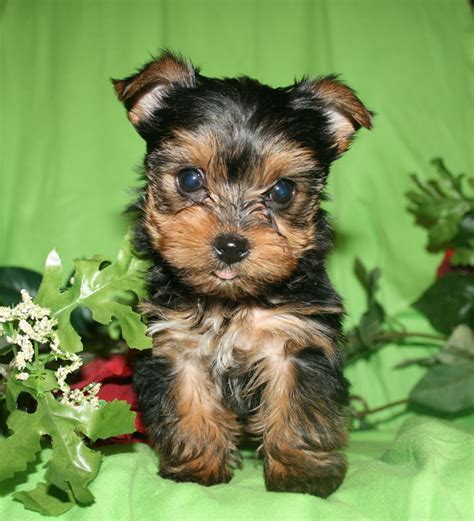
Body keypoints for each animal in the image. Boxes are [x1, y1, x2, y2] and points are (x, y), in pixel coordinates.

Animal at [113, 51, 372, 496]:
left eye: (283, 191)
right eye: (190, 179)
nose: (231, 245)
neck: (231, 304)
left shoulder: (297, 339)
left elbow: (298, 409)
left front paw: (302, 474)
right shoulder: (177, 345)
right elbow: (189, 407)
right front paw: (199, 468)